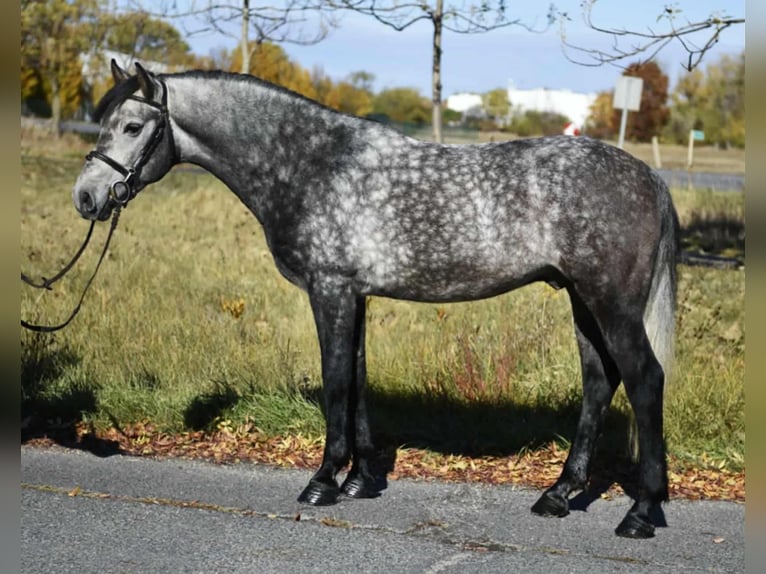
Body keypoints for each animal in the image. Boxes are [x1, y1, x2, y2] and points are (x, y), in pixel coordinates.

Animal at [73, 60, 678, 539]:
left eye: (132, 126)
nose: (86, 198)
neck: (312, 164)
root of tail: (649, 176)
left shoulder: (331, 290)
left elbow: (336, 380)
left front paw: (322, 482)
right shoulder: (355, 295)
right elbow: (358, 379)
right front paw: (361, 481)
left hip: (610, 302)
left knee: (644, 378)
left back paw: (641, 513)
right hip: (581, 299)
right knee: (600, 381)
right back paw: (558, 495)